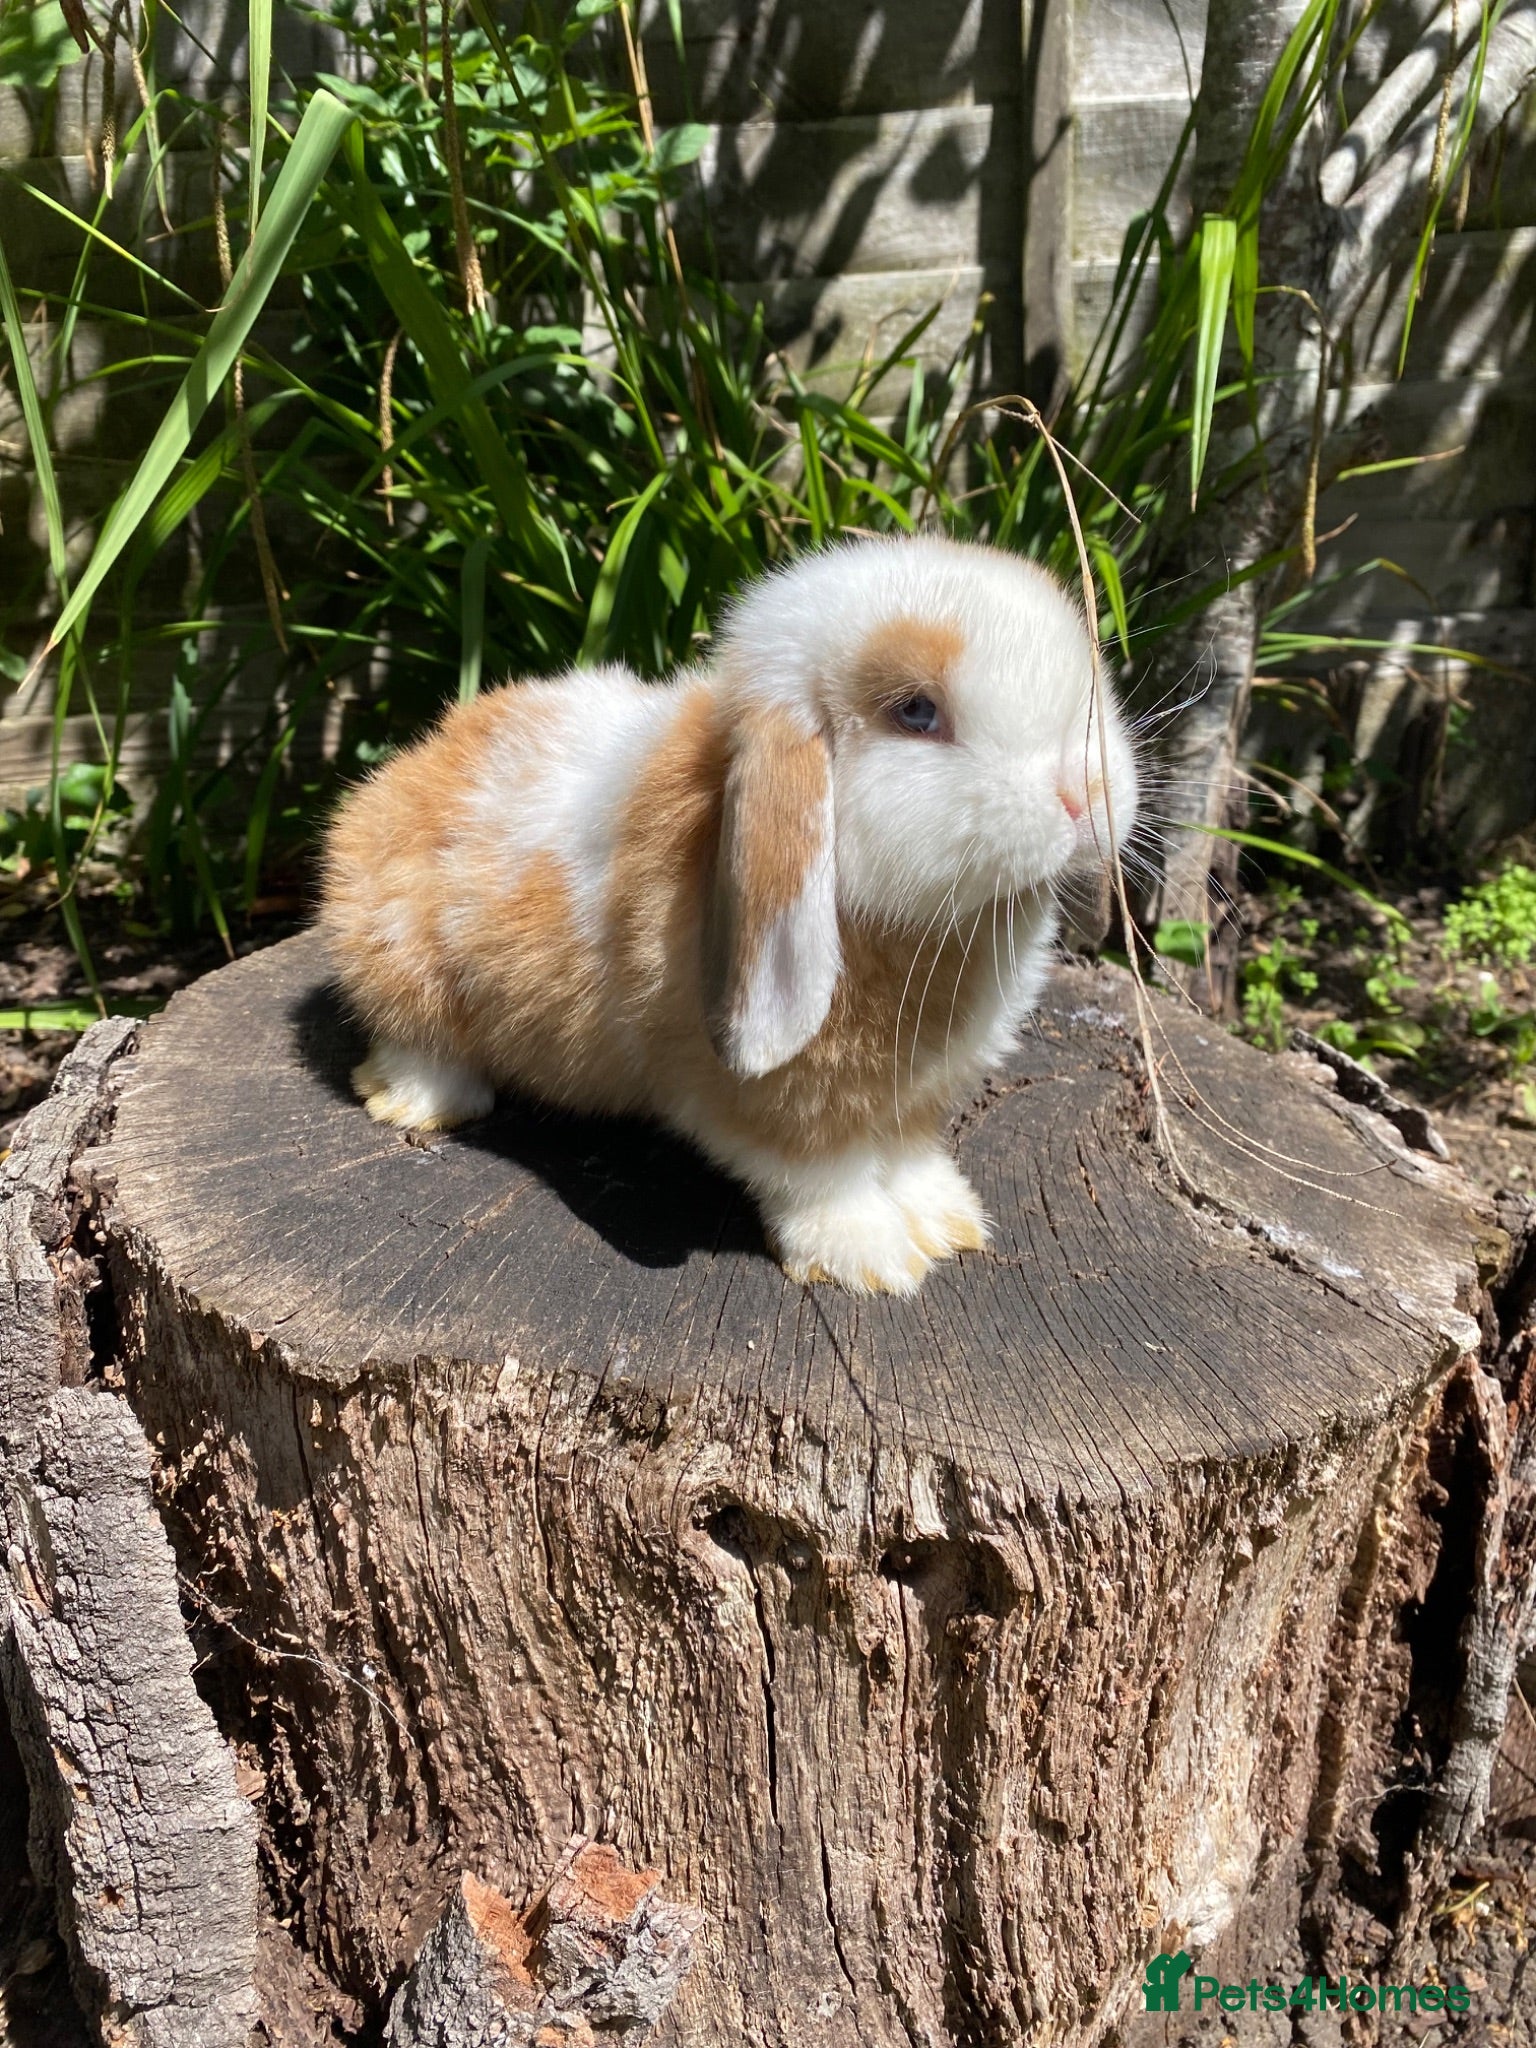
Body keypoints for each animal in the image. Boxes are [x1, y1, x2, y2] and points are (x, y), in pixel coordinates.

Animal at [320, 533, 1139, 1295]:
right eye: (916, 712)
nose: (1083, 791)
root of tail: (407, 769)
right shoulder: (771, 1101)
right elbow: (823, 1175)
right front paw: (874, 1260)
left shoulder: (918, 1100)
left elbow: (909, 1155)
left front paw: (947, 1222)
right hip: (398, 959)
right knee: (410, 1040)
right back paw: (421, 1106)